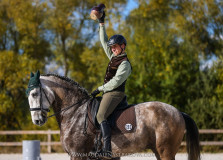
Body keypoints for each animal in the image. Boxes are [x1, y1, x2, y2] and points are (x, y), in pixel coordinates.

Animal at [27, 71, 200, 160]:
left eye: (35, 93)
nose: (37, 120)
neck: (75, 112)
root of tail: (178, 112)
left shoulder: (78, 155)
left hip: (166, 151)